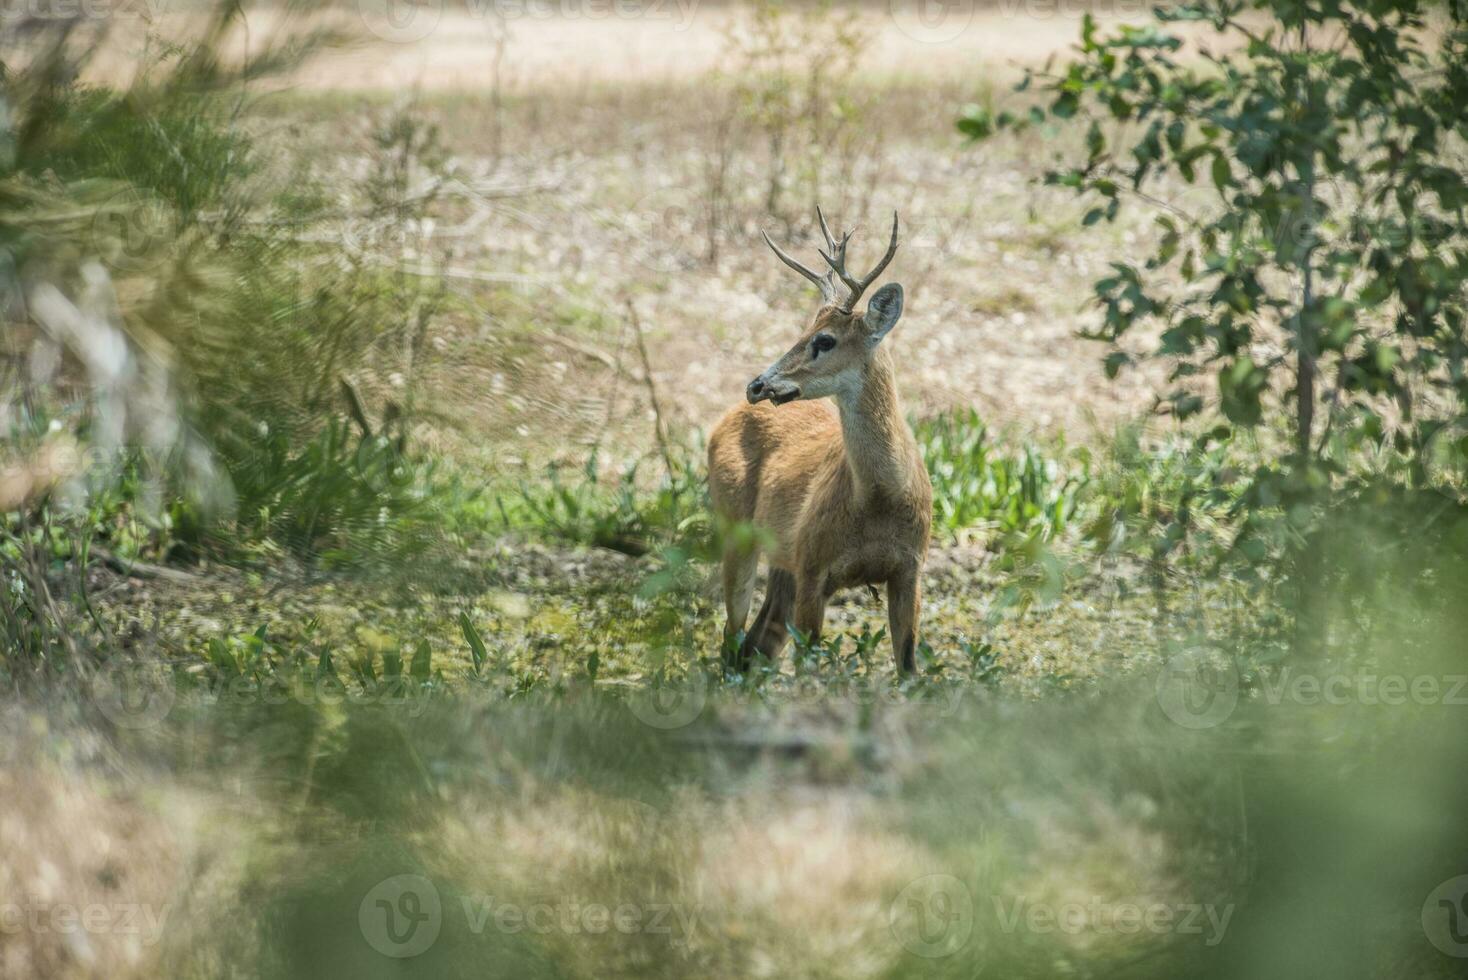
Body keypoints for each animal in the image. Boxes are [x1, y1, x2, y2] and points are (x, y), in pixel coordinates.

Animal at [707, 208, 933, 674]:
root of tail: (724, 420)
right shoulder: (813, 567)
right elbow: (808, 669)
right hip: (736, 528)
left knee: (757, 644)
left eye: (824, 339)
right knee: (732, 638)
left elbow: (908, 669)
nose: (757, 385)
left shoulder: (910, 570)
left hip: (781, 561)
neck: (880, 499)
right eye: (804, 328)